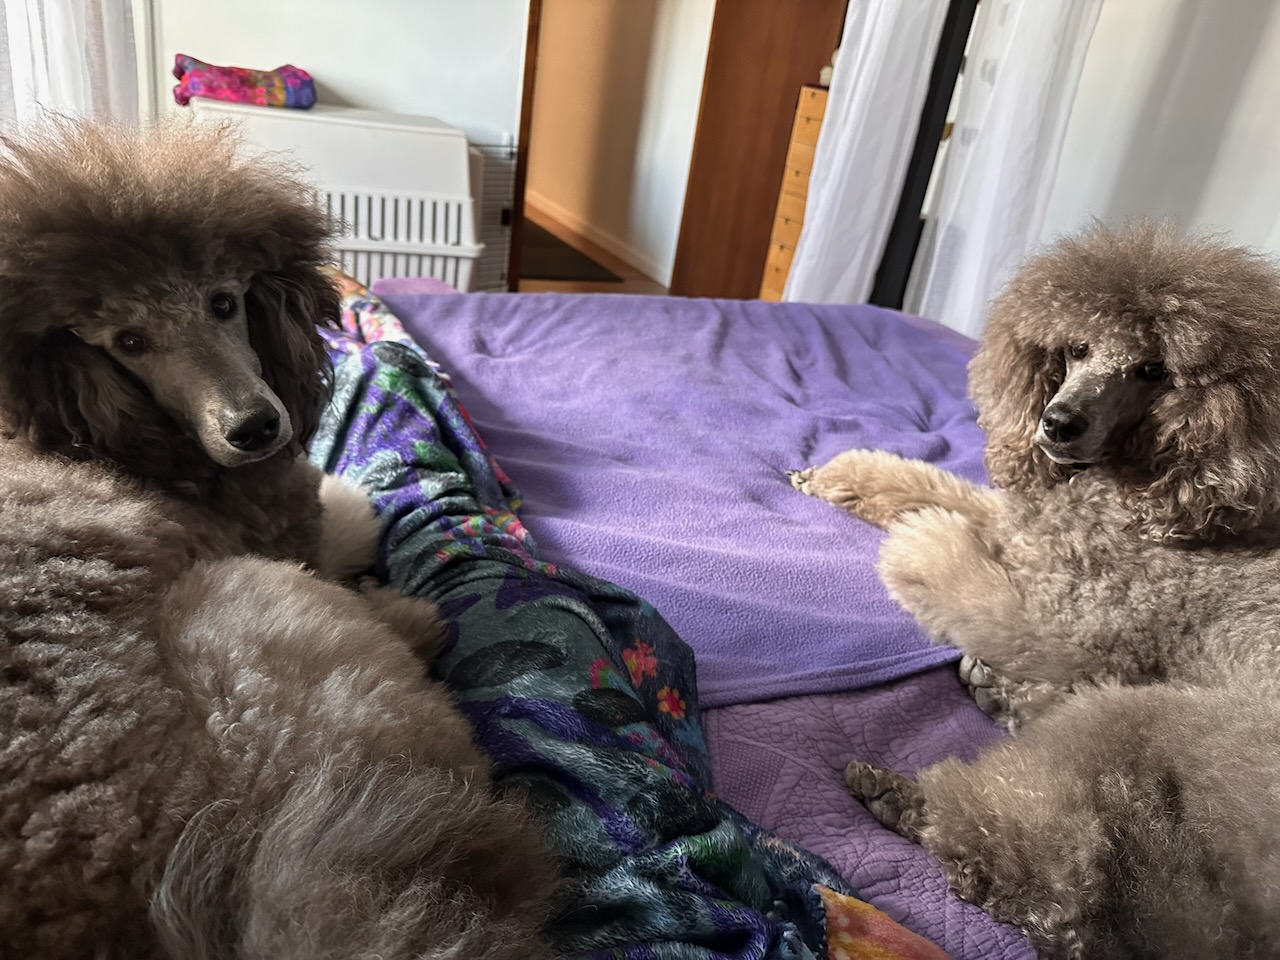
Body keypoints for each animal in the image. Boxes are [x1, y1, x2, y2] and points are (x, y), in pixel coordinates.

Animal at [0, 121, 556, 959]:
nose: (256, 428)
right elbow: (349, 509)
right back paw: (412, 617)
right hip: (260, 609)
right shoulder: (284, 533)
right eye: (128, 340)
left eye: (225, 301)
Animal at [789, 221, 1280, 958]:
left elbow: (964, 575)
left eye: (1153, 371)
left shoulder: (1066, 623)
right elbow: (940, 489)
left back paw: (908, 798)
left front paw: (920, 546)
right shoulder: (1030, 528)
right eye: (1076, 349)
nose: (1058, 422)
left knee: (1048, 872)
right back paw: (995, 697)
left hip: (1160, 730)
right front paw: (841, 477)